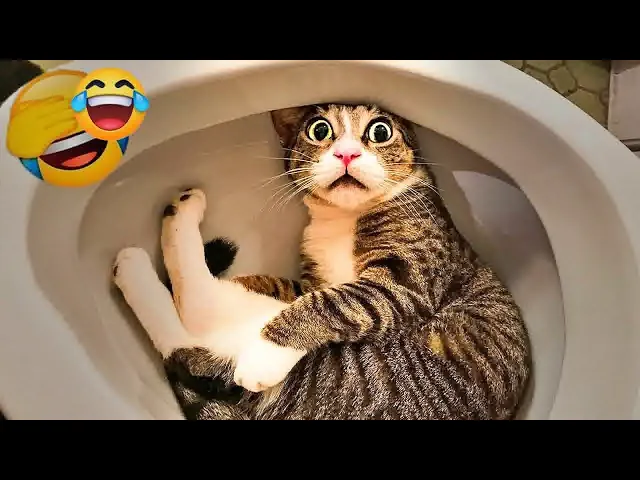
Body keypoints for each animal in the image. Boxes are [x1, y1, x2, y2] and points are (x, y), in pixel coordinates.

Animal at [113, 103, 532, 420]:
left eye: (380, 131)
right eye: (319, 130)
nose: (347, 153)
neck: (345, 218)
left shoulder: (405, 279)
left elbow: (327, 304)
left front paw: (266, 352)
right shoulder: (315, 278)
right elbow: (295, 290)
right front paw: (256, 282)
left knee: (197, 308)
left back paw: (154, 242)